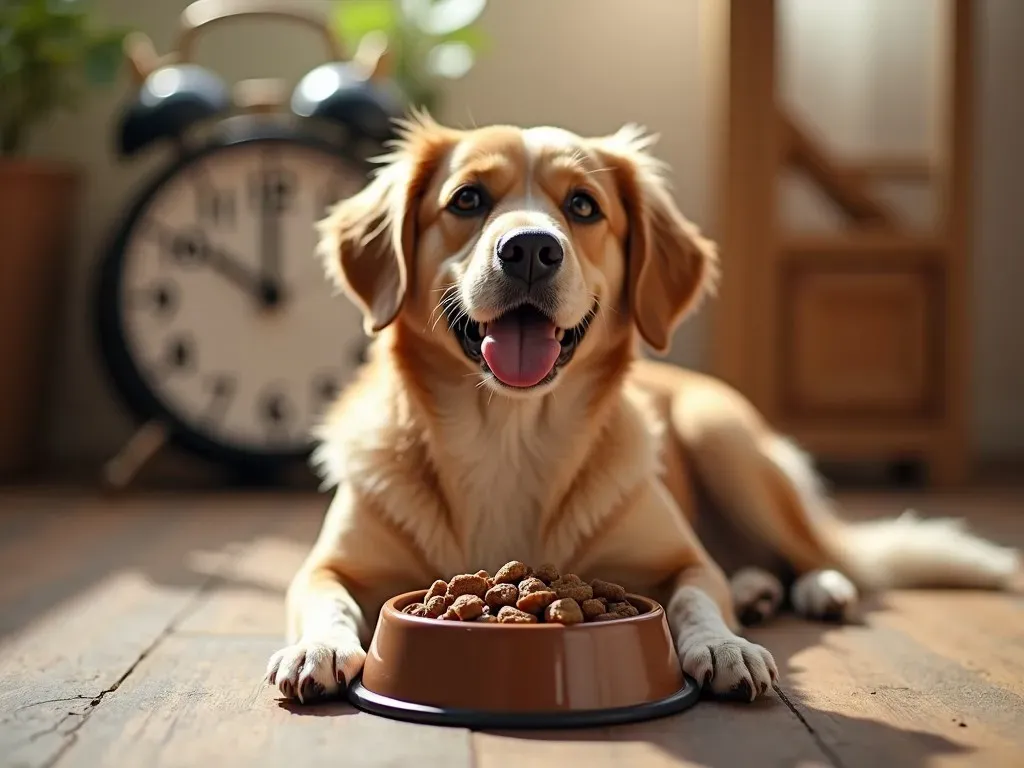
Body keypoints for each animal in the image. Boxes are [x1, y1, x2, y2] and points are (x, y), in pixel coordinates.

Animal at [262, 114, 1015, 704]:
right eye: (467, 199)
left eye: (584, 206)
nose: (529, 249)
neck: (508, 435)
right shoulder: (325, 566)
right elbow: (324, 597)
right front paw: (317, 647)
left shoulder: (681, 558)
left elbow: (695, 594)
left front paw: (725, 643)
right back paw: (759, 589)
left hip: (723, 439)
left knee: (825, 554)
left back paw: (814, 588)